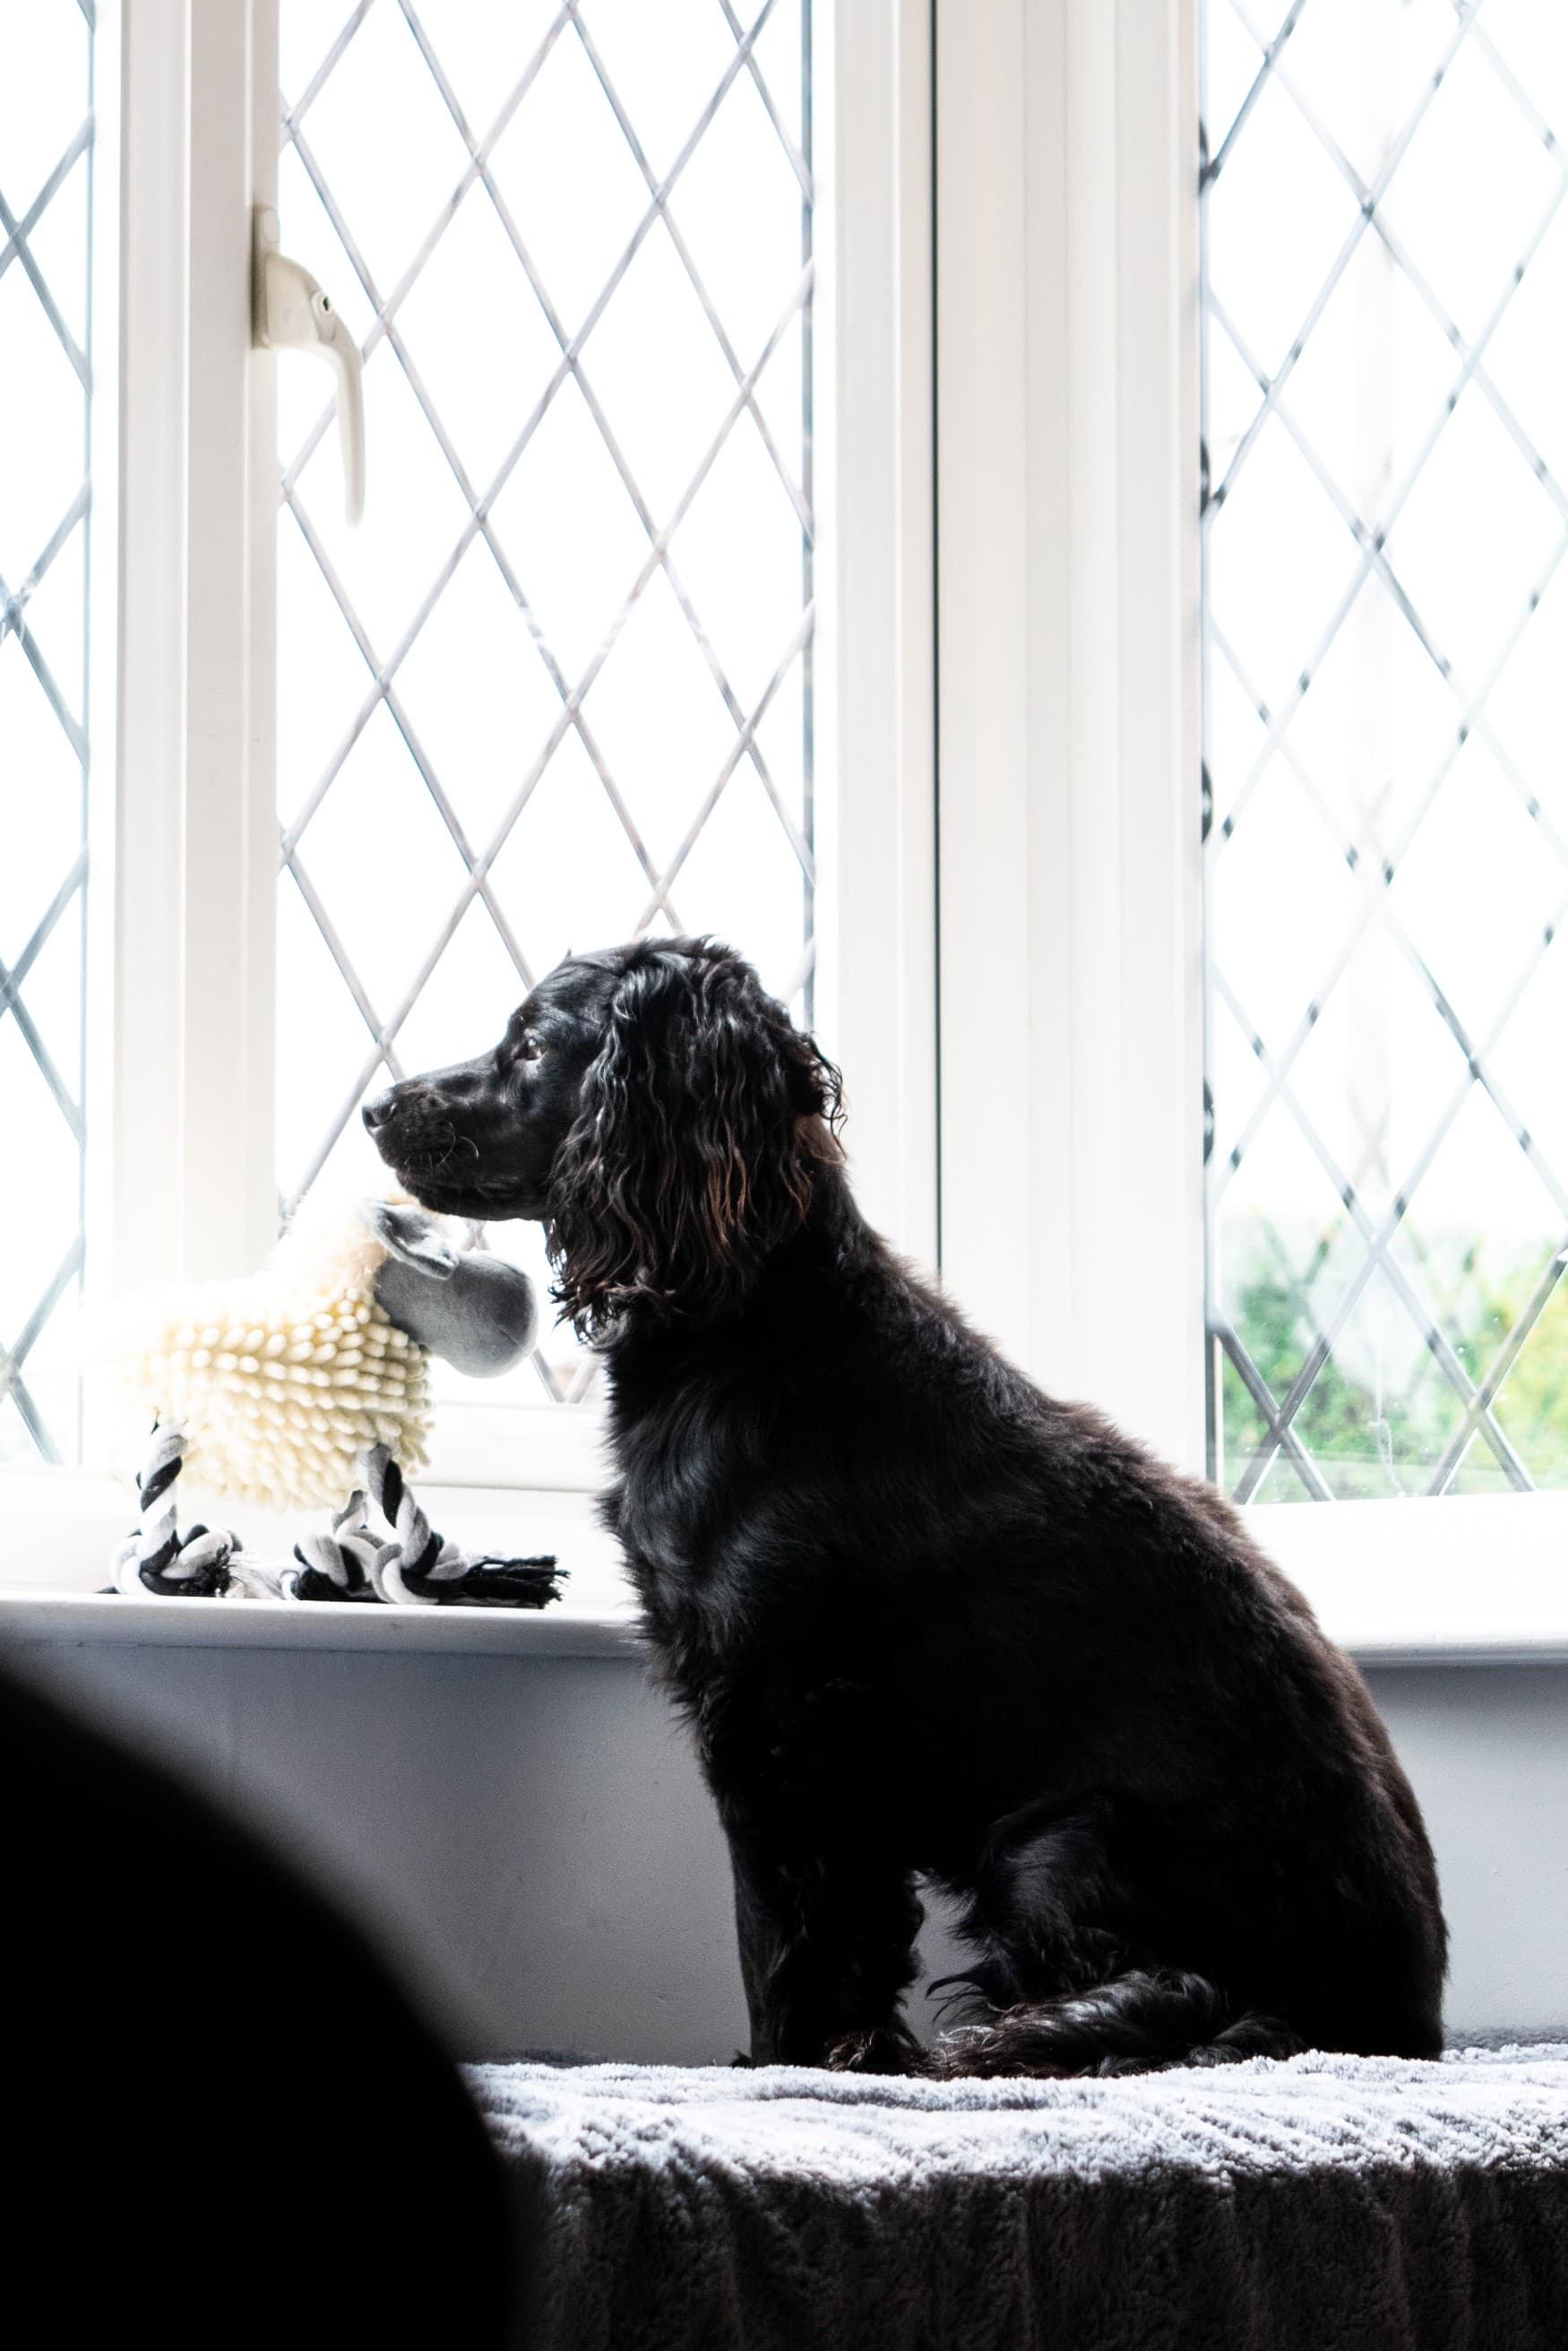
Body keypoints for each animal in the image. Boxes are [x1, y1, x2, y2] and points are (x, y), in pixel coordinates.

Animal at [364, 935, 1448, 2078]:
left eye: (530, 1042)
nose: (376, 1108)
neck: (751, 1329)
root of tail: (1403, 2024)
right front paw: (848, 2047)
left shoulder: (777, 1714)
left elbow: (781, 1936)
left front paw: (788, 2060)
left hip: (1054, 1840)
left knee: (1182, 1992)